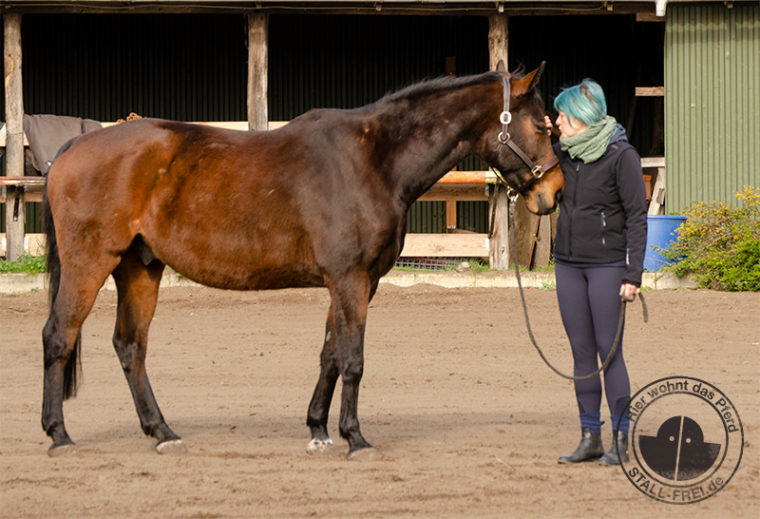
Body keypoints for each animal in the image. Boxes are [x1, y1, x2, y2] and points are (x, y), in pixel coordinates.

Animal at [43, 64, 564, 460]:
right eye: (542, 126)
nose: (553, 194)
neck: (373, 160)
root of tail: (72, 148)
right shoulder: (350, 279)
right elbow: (352, 359)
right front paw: (355, 438)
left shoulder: (353, 282)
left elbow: (330, 354)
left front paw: (318, 429)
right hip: (90, 262)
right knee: (59, 336)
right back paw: (60, 435)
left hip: (139, 268)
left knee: (130, 346)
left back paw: (162, 433)